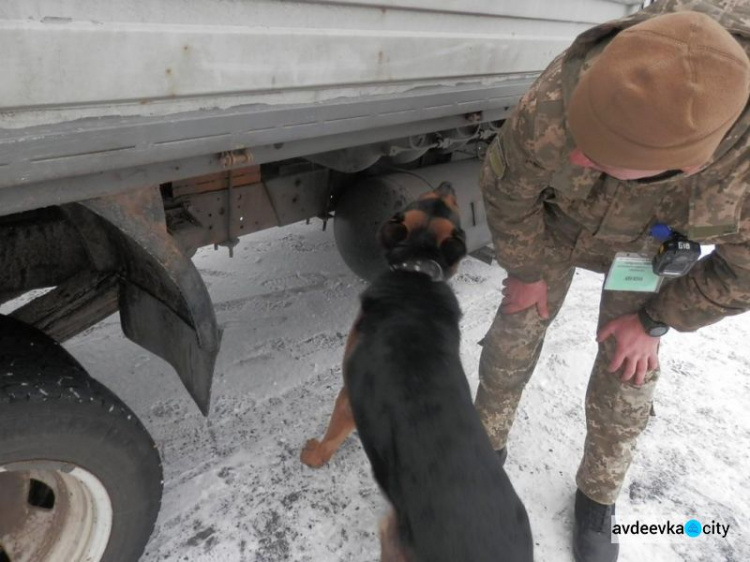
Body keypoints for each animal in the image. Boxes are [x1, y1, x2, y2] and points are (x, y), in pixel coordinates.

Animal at [302, 184, 536, 560]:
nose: (447, 184)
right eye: (439, 201)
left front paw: (314, 456)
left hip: (392, 537)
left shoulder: (350, 391)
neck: (417, 272)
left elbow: (333, 434)